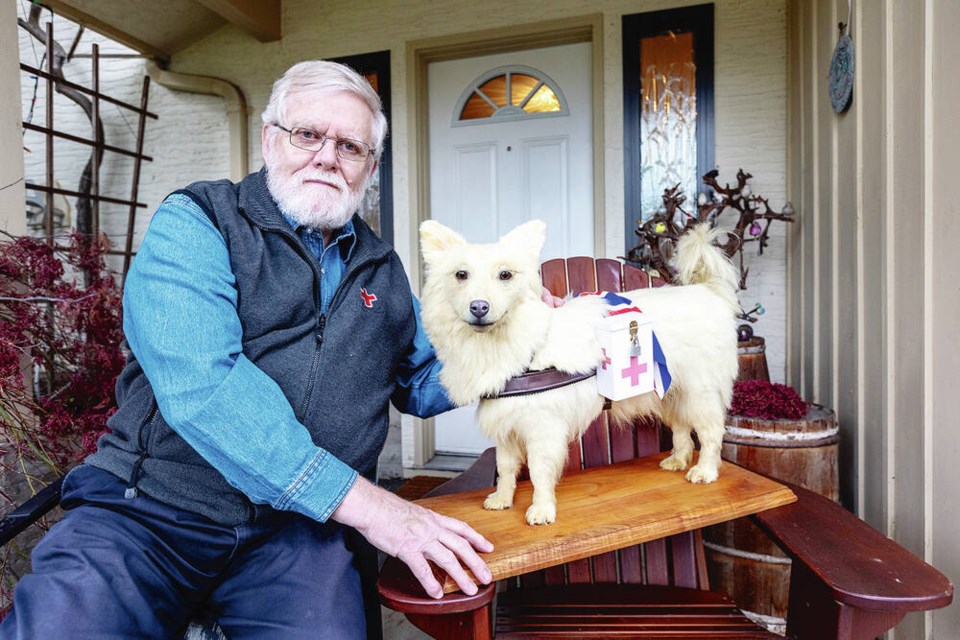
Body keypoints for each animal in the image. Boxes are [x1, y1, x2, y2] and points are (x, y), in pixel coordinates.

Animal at [420, 220, 744, 524]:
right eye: (461, 275)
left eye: (505, 275)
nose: (479, 307)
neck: (522, 347)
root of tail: (706, 290)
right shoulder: (506, 430)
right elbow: (506, 467)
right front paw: (501, 499)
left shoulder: (543, 429)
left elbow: (538, 472)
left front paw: (541, 510)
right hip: (668, 392)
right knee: (681, 429)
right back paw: (677, 460)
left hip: (698, 392)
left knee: (711, 432)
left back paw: (704, 471)